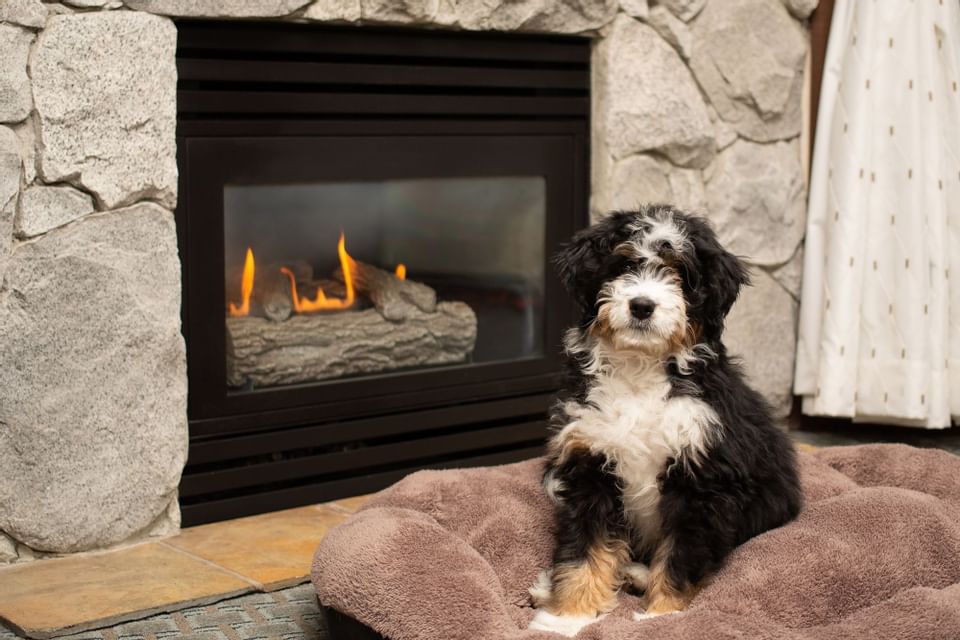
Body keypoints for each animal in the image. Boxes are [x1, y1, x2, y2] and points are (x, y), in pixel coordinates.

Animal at [528, 205, 800, 636]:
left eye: (680, 275)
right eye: (624, 264)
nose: (642, 305)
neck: (640, 370)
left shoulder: (702, 478)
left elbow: (680, 555)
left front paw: (661, 616)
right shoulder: (590, 462)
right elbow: (584, 549)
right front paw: (566, 618)